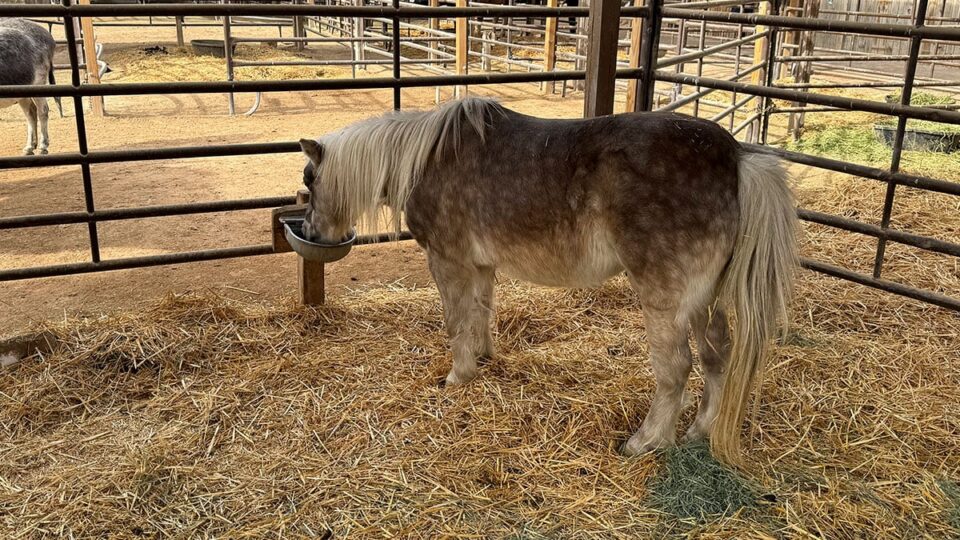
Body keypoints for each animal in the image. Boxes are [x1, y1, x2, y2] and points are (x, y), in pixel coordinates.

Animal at [298, 98, 796, 464]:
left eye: (309, 183)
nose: (312, 235)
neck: (425, 160)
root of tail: (735, 159)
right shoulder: (482, 266)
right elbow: (480, 312)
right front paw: (483, 358)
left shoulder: (447, 261)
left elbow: (456, 320)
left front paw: (457, 377)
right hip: (704, 299)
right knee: (717, 356)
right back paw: (699, 430)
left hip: (666, 301)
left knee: (675, 368)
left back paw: (644, 442)